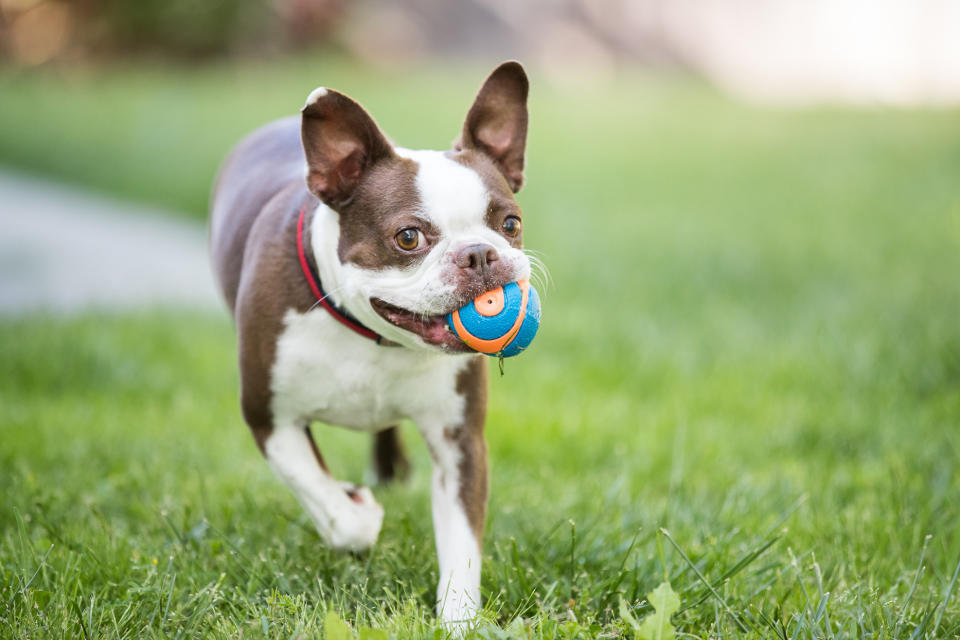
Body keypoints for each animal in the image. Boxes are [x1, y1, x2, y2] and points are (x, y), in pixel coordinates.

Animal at [210, 61, 536, 624]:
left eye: (510, 224)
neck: (374, 336)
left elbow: (462, 543)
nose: (479, 254)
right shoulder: (270, 417)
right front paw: (356, 508)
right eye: (408, 237)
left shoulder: (460, 442)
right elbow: (331, 506)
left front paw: (459, 622)